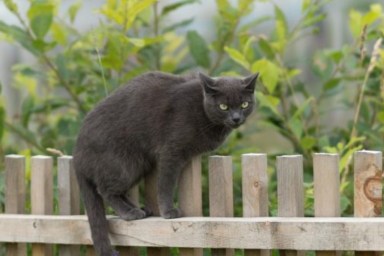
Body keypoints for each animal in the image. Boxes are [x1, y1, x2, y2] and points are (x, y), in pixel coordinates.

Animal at [73, 71, 258, 255]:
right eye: (223, 106)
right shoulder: (171, 151)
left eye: (244, 104)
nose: (236, 118)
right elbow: (165, 184)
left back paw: (142, 209)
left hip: (139, 165)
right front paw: (168, 211)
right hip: (123, 164)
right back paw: (129, 212)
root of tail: (77, 153)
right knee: (105, 190)